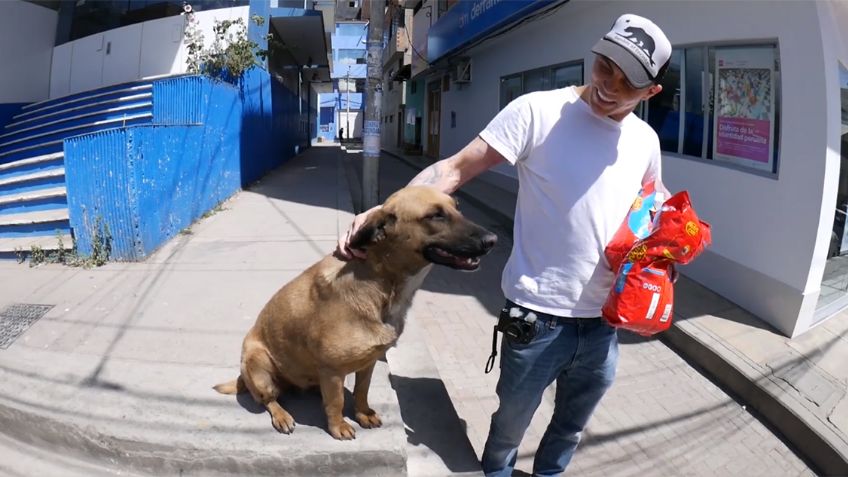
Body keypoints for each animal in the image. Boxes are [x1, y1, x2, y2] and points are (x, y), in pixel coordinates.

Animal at [214, 185, 496, 438]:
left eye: (457, 207)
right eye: (435, 215)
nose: (492, 240)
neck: (381, 284)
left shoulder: (368, 363)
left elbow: (361, 391)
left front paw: (363, 414)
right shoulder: (331, 370)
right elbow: (336, 402)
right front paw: (338, 426)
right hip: (258, 364)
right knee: (268, 400)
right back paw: (282, 415)